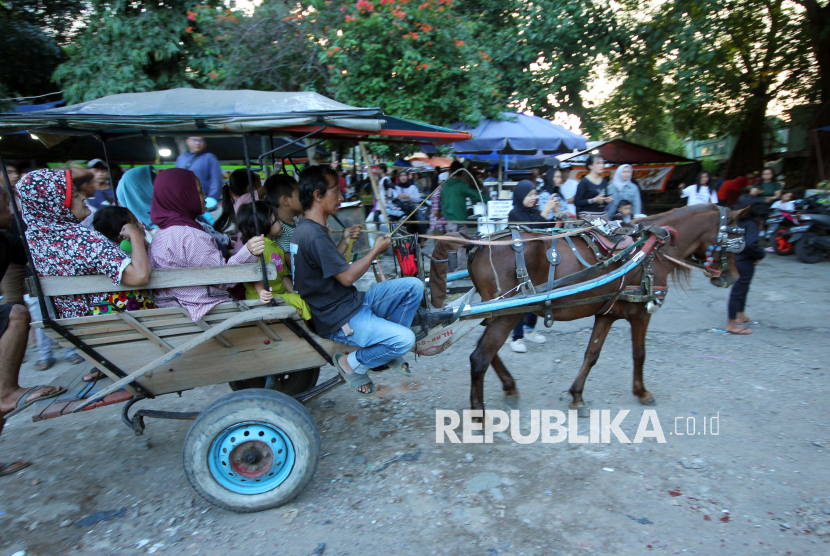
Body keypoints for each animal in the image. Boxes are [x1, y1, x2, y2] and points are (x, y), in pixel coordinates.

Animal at [432, 204, 752, 412]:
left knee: (487, 351)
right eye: (735, 240)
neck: (652, 251)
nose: (733, 277)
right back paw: (479, 414)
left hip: (500, 312)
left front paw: (577, 395)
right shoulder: (641, 313)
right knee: (480, 357)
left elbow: (592, 354)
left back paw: (510, 386)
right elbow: (640, 354)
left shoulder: (606, 314)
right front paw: (642, 392)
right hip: (508, 313)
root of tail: (478, 243)